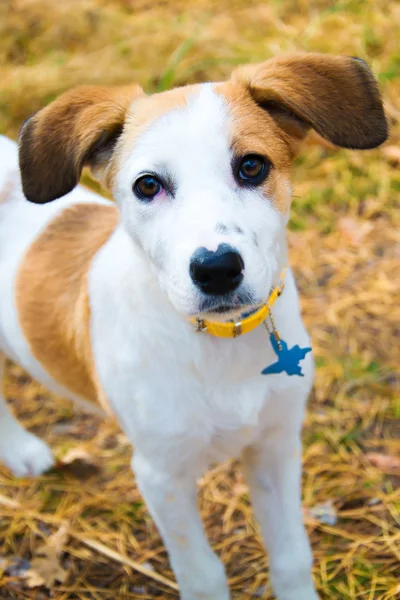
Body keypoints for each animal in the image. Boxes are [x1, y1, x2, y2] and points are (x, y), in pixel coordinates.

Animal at [0, 52, 388, 600]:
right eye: (147, 185)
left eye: (252, 166)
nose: (217, 269)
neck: (220, 346)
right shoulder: (161, 476)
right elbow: (204, 575)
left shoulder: (274, 447)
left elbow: (292, 556)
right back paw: (22, 450)